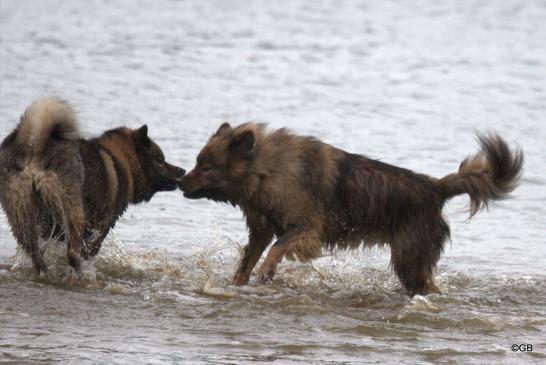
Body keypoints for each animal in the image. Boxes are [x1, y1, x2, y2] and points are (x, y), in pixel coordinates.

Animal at [0, 96, 185, 272]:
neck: (123, 160)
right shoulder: (100, 228)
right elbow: (87, 251)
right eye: (160, 159)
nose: (182, 170)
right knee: (72, 254)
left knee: (36, 257)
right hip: (72, 209)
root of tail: (36, 144)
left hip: (21, 214)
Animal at [177, 122, 520, 296]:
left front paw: (267, 271)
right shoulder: (260, 230)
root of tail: (435, 187)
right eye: (197, 162)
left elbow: (278, 247)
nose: (179, 181)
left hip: (409, 259)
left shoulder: (306, 227)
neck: (266, 169)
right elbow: (246, 262)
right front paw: (238, 284)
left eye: (207, 167)